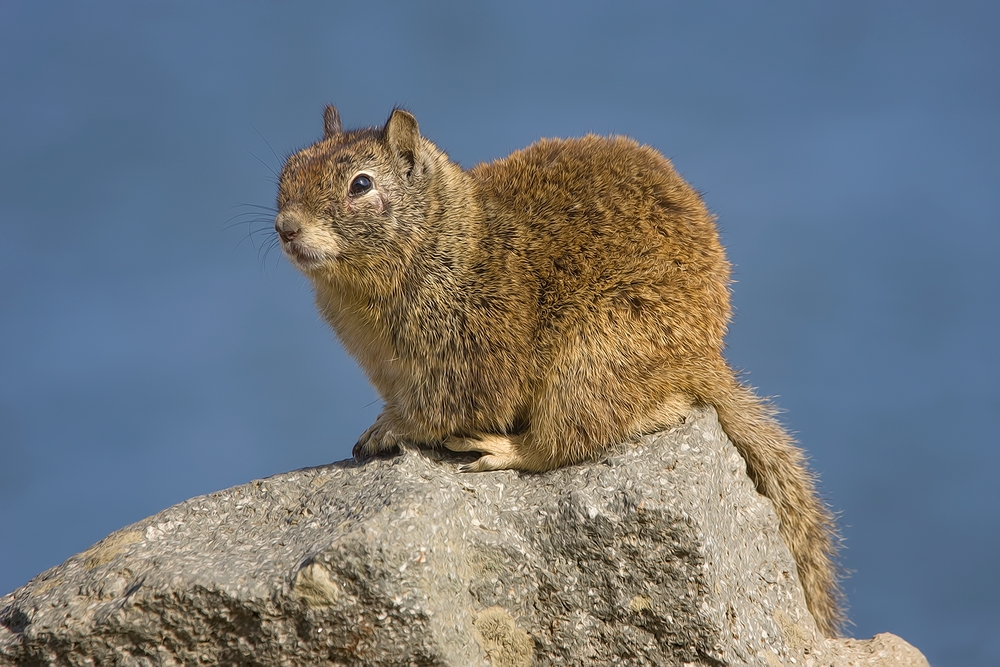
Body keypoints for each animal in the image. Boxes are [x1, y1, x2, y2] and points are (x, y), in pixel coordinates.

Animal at [274, 105, 844, 636]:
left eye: (361, 184)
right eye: (287, 170)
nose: (285, 227)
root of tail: (706, 360)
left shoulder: (473, 353)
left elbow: (443, 411)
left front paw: (392, 429)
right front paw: (380, 424)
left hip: (588, 365)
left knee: (566, 440)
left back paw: (503, 448)